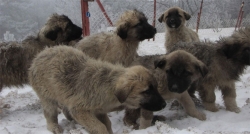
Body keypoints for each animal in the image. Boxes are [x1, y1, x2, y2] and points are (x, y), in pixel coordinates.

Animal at [28, 45, 166, 133]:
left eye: (155, 88)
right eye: (147, 91)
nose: (164, 104)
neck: (107, 85)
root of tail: (39, 55)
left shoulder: (99, 110)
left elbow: (107, 124)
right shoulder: (80, 110)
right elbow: (99, 127)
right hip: (47, 96)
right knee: (50, 113)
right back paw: (54, 127)